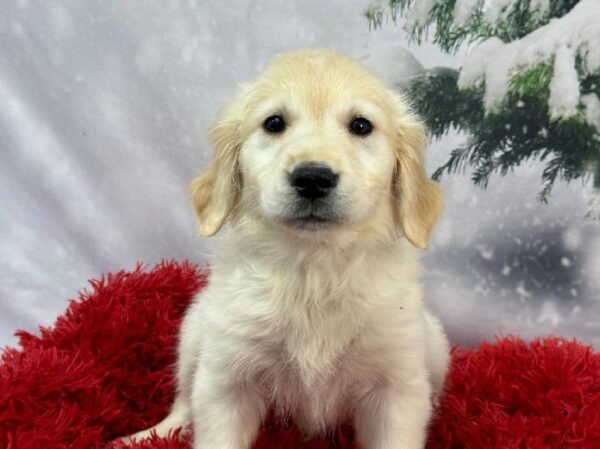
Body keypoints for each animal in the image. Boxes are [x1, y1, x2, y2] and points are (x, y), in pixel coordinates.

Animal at [126, 49, 450, 448]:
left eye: (361, 126)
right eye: (274, 123)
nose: (313, 178)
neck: (314, 268)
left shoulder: (396, 386)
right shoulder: (226, 381)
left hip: (434, 344)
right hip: (194, 329)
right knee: (183, 401)